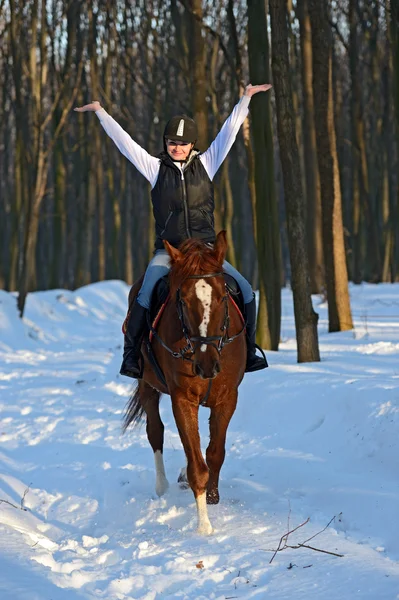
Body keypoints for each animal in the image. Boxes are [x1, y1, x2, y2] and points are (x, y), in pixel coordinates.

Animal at [123, 231, 247, 536]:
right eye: (182, 299)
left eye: (223, 296)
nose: (207, 364)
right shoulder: (183, 398)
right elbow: (197, 466)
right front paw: (204, 525)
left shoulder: (228, 397)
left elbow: (214, 454)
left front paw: (212, 498)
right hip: (146, 385)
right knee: (155, 431)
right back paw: (162, 485)